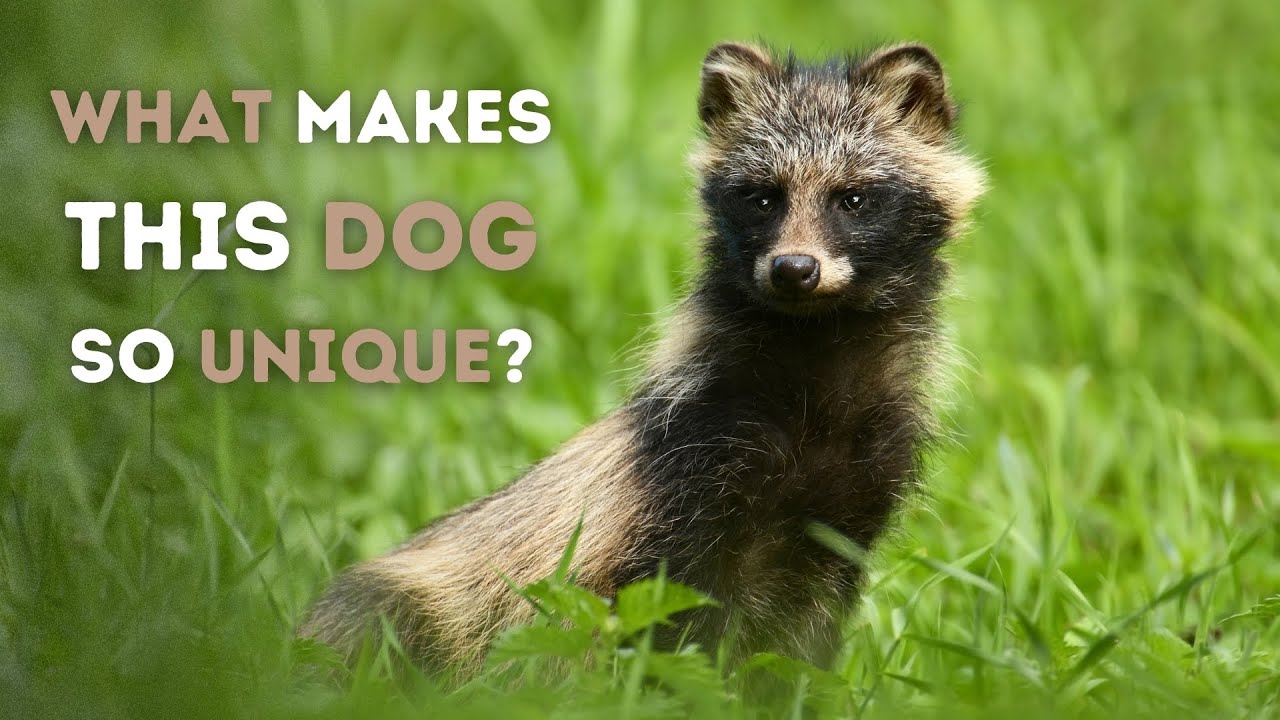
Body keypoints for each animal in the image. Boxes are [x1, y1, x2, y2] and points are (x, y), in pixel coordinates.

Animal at [302, 41, 985, 676]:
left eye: (856, 198)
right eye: (761, 197)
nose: (794, 268)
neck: (817, 377)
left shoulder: (850, 510)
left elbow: (797, 651)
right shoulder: (680, 481)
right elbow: (671, 623)